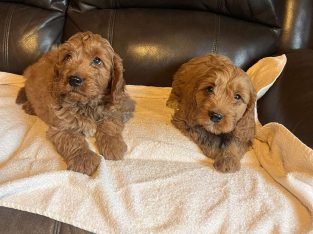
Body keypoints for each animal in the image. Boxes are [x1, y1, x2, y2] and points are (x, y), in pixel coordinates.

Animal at [16, 31, 134, 176]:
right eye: (67, 57)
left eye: (97, 60)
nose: (74, 79)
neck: (86, 104)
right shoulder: (62, 126)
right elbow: (72, 140)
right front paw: (84, 159)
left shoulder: (118, 107)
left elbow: (110, 124)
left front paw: (113, 145)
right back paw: (29, 107)